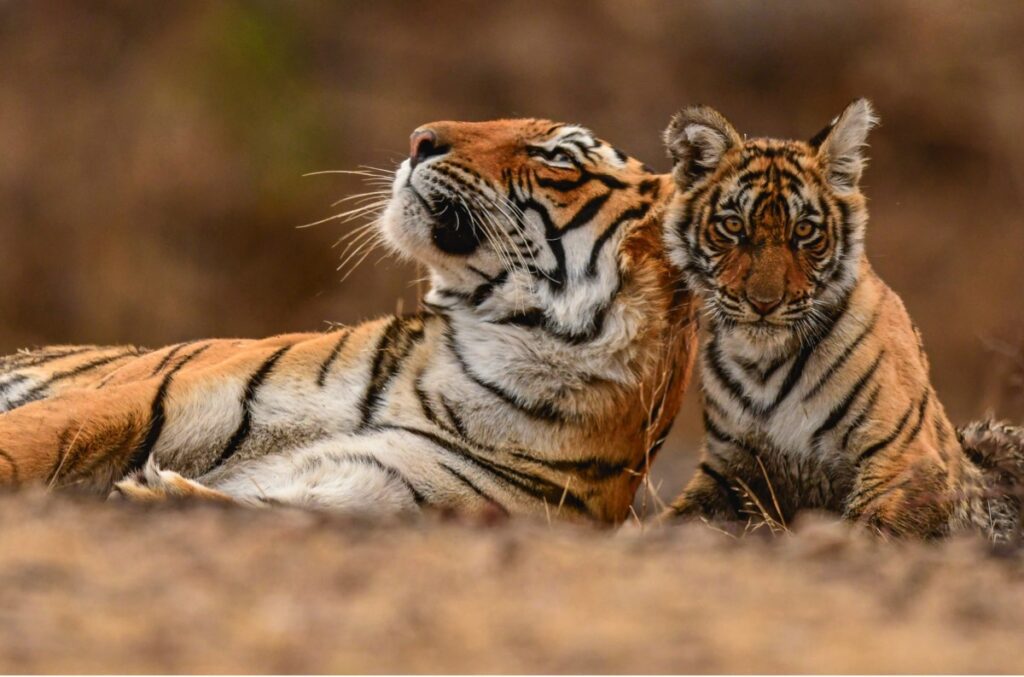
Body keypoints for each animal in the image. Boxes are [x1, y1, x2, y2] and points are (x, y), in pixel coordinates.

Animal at [0, 118, 696, 522]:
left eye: (556, 158)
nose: (419, 140)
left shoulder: (377, 489)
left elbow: (266, 510)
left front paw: (158, 494)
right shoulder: (154, 400)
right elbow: (27, 440)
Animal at [659, 98, 1019, 536]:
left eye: (804, 231)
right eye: (732, 226)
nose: (764, 303)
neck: (763, 363)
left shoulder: (904, 458)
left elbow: (870, 527)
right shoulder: (729, 468)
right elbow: (670, 520)